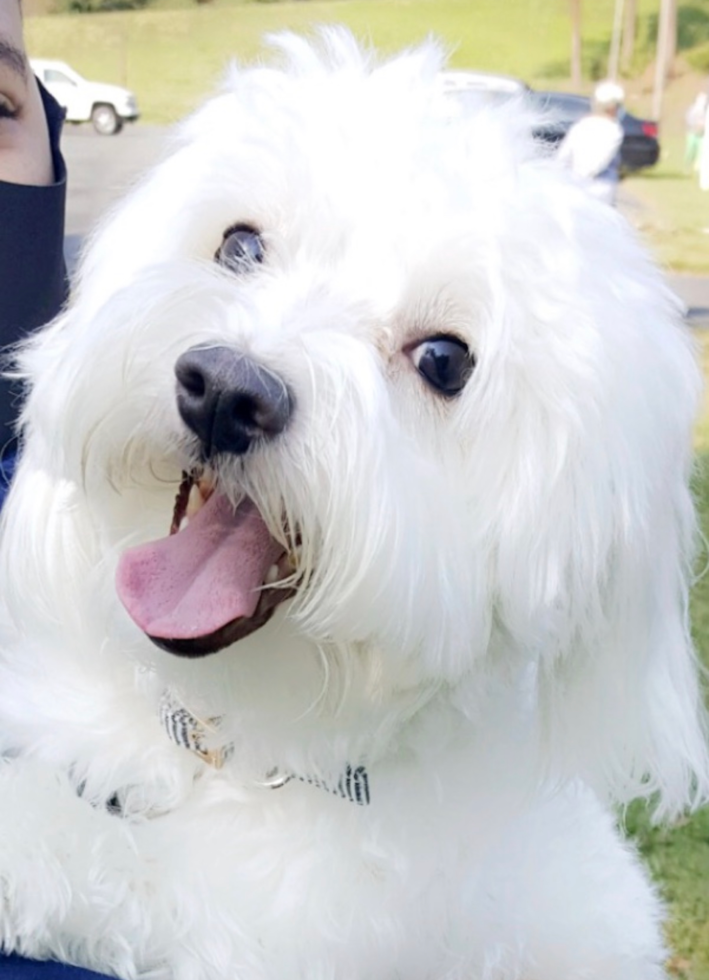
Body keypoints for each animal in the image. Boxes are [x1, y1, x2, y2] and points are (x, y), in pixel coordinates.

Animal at [1, 30, 708, 980]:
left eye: (445, 361)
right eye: (240, 246)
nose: (224, 390)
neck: (242, 745)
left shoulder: (288, 933)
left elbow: (133, 871)